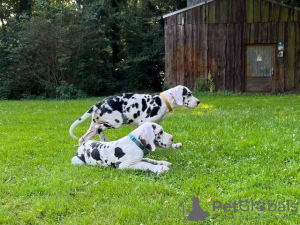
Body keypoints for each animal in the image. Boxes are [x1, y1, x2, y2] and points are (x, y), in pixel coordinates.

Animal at [68, 85, 199, 146]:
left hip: (93, 127)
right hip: (115, 122)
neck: (162, 101)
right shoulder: (143, 123)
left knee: (83, 138)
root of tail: (99, 103)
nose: (198, 102)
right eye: (188, 94)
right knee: (99, 129)